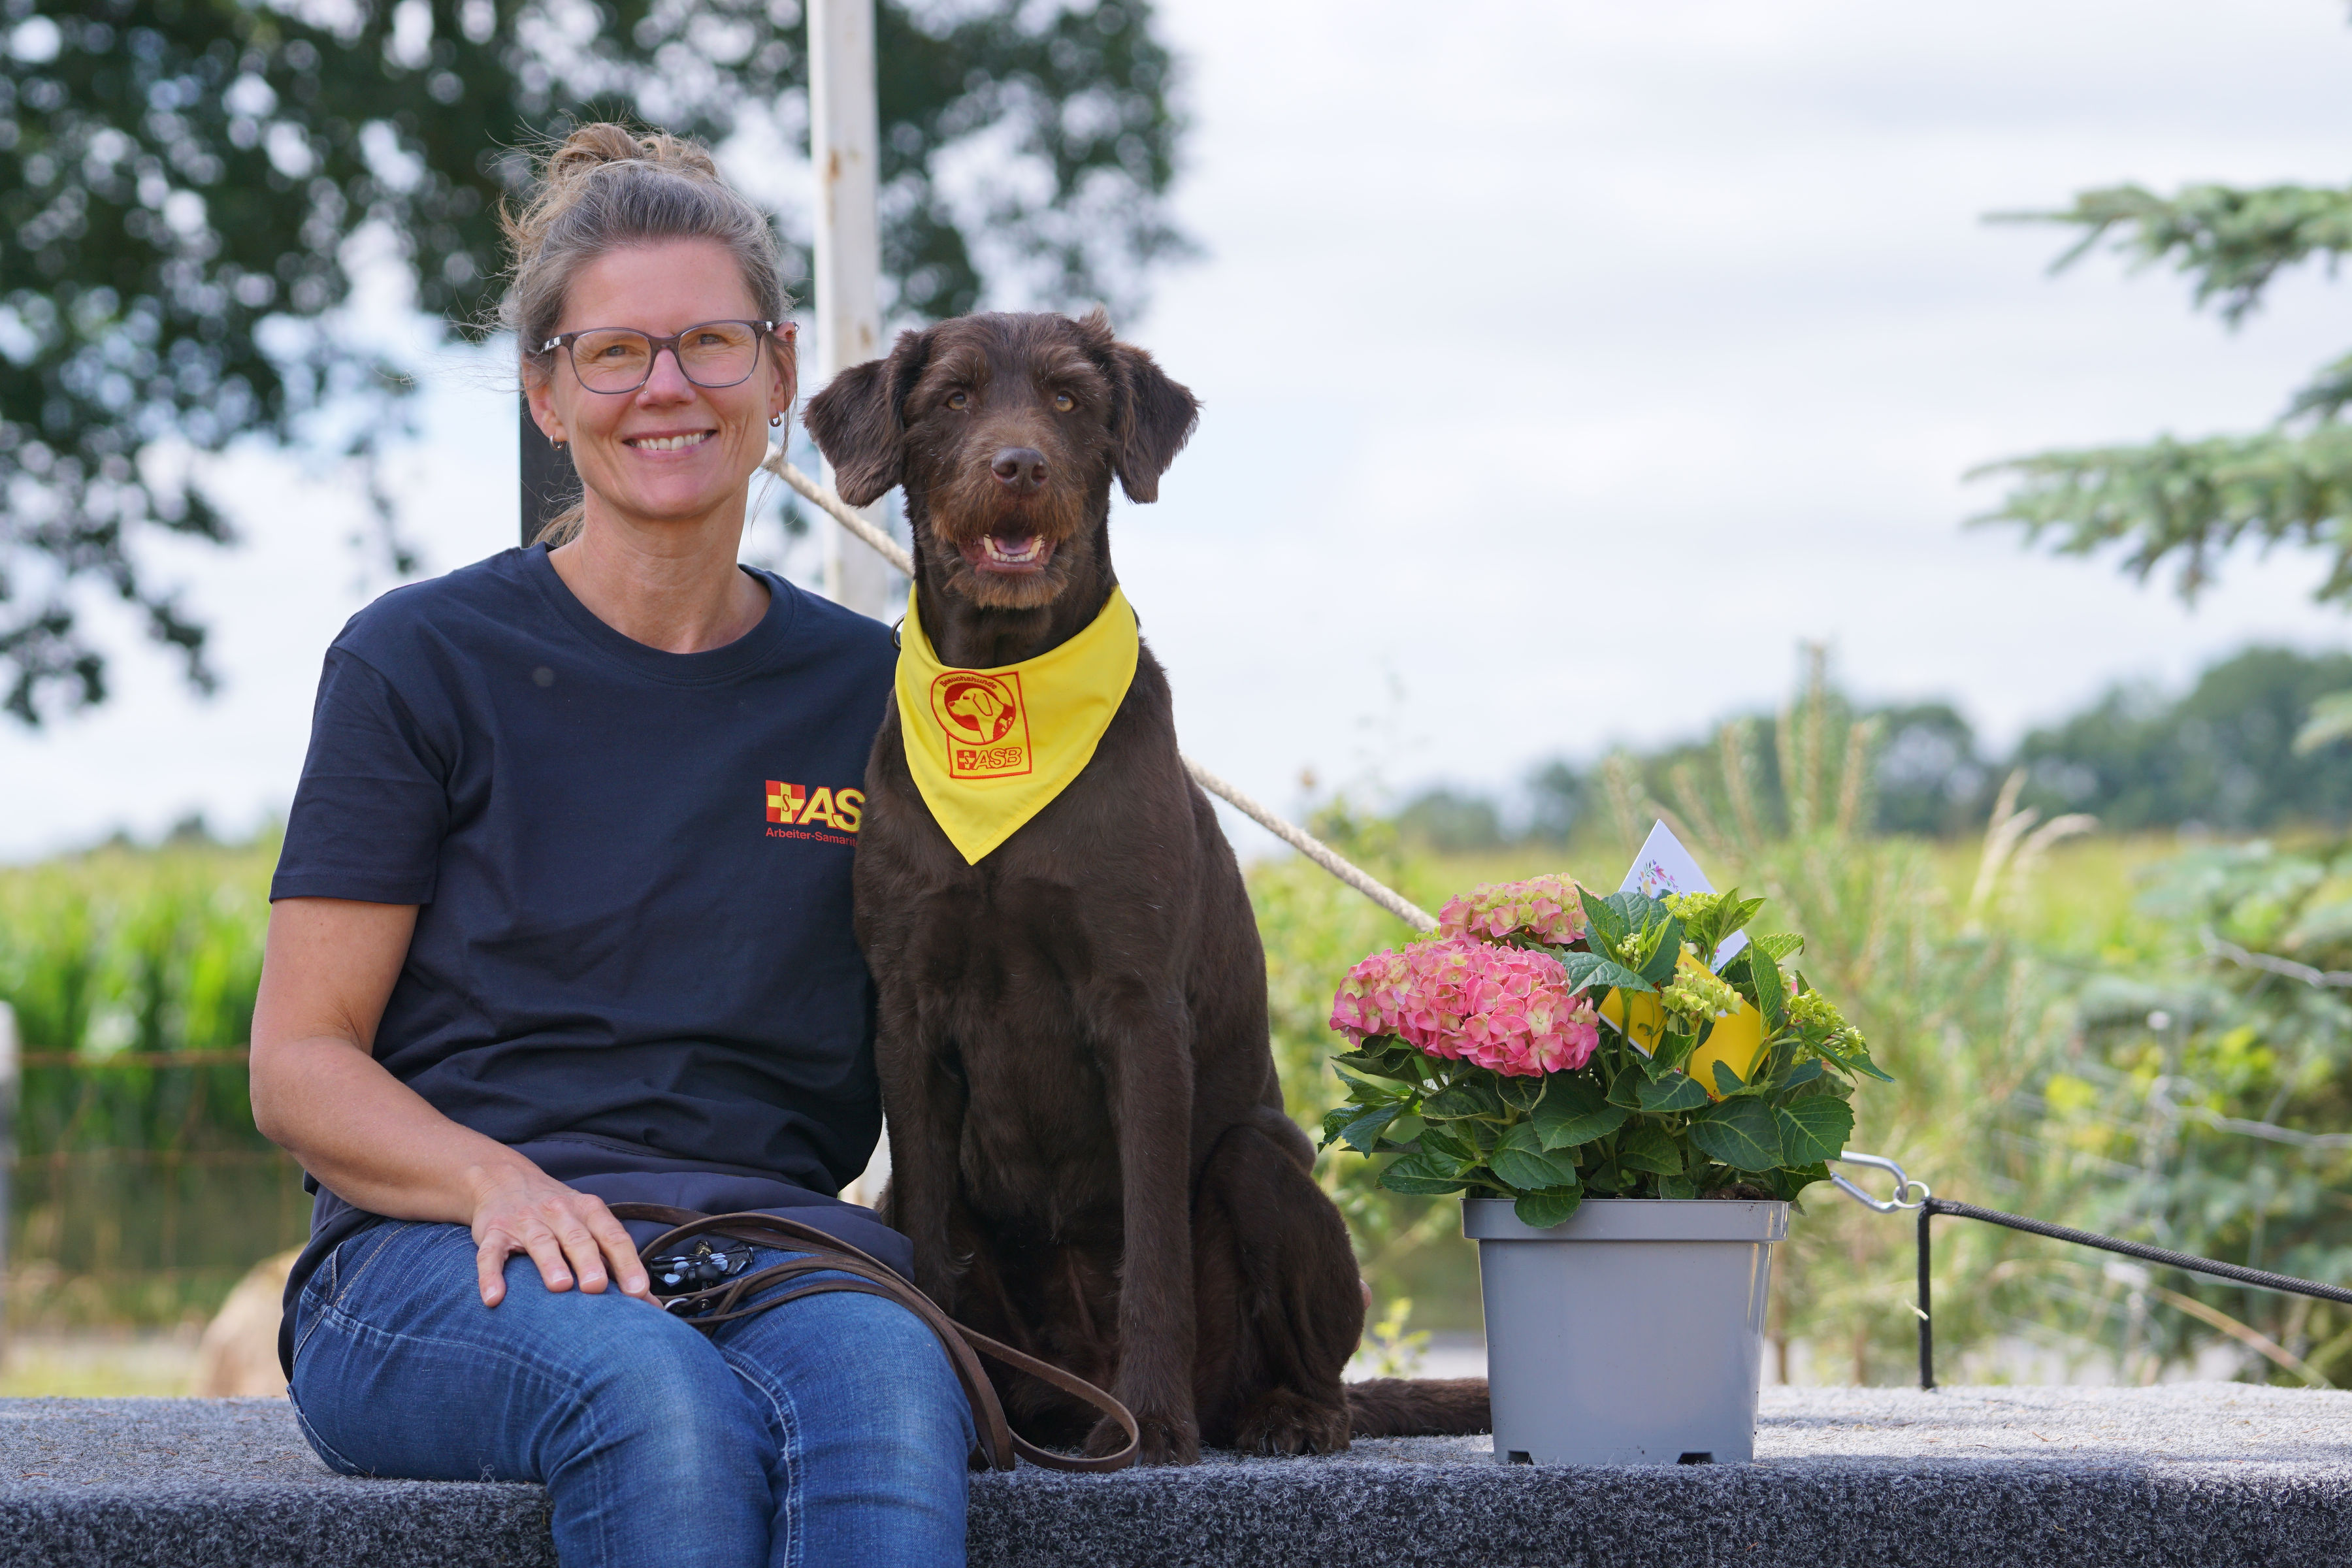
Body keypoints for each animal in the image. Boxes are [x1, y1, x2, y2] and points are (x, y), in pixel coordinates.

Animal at [800, 312, 1477, 1467]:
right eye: (953, 398)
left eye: (1069, 400)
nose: (1018, 466)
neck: (1009, 691)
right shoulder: (909, 1013)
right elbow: (929, 1244)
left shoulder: (1139, 1010)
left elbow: (1154, 1246)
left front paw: (1156, 1418)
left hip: (1264, 1163)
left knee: (1314, 1369)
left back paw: (1275, 1415)